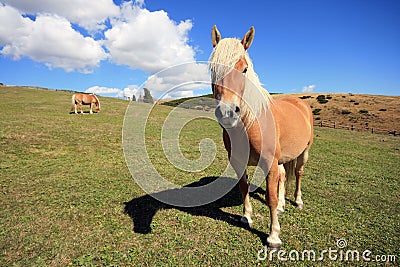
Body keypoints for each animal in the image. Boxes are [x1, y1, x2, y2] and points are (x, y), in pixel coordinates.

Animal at [208, 25, 314, 249]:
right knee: (284, 176)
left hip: (304, 153)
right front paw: (246, 217)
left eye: (244, 69)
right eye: (213, 70)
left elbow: (271, 197)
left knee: (298, 173)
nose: (227, 112)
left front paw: (273, 237)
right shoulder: (238, 162)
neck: (251, 123)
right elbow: (244, 187)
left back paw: (297, 201)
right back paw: (283, 205)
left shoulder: (269, 163)